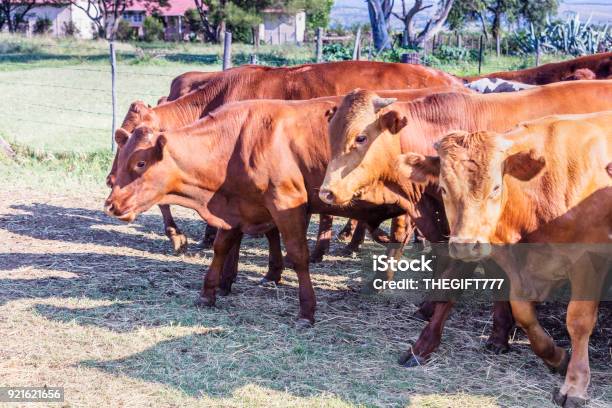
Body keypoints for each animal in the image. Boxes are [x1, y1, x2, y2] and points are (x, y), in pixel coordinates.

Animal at [402, 111, 612, 404]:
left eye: (496, 187)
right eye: (443, 188)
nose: (466, 246)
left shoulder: (588, 258)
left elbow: (578, 320)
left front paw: (575, 386)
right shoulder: (512, 263)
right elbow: (521, 311)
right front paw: (555, 356)